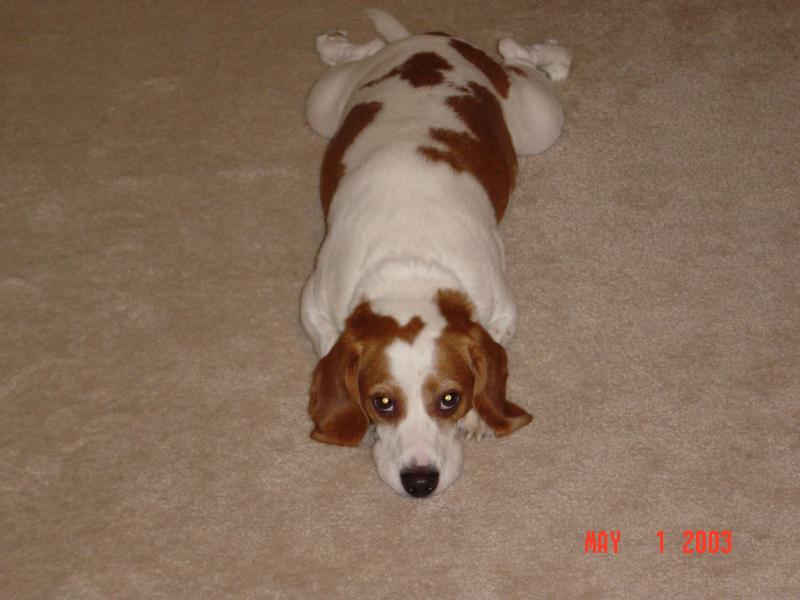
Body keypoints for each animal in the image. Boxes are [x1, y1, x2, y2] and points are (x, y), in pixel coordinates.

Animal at [300, 9, 571, 497]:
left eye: (450, 399)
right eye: (382, 402)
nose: (420, 482)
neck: (409, 266)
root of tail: (431, 40)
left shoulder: (504, 308)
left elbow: (493, 345)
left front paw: (480, 416)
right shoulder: (312, 300)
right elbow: (329, 342)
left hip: (540, 119)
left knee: (535, 64)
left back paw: (529, 50)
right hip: (323, 105)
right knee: (357, 54)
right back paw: (340, 43)